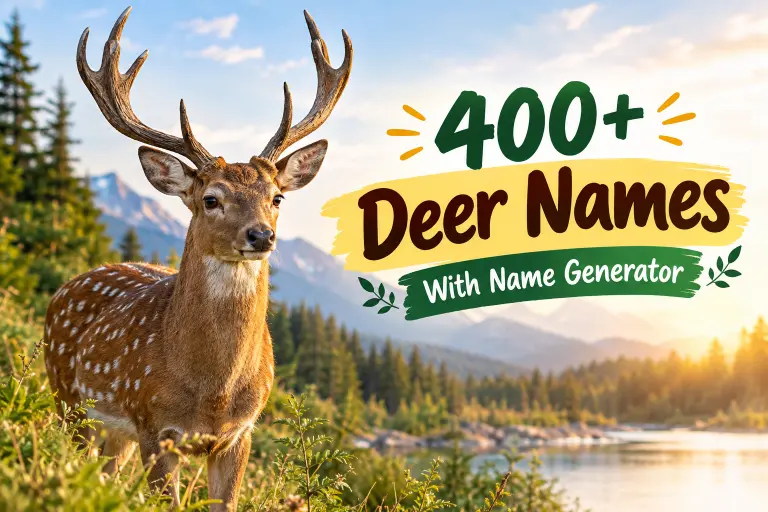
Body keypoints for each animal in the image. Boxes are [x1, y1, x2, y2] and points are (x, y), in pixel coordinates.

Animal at [43, 6, 351, 510]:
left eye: (277, 197)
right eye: (211, 199)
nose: (261, 235)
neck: (212, 395)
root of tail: (64, 288)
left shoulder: (240, 434)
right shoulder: (153, 427)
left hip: (113, 431)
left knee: (105, 474)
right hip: (68, 398)